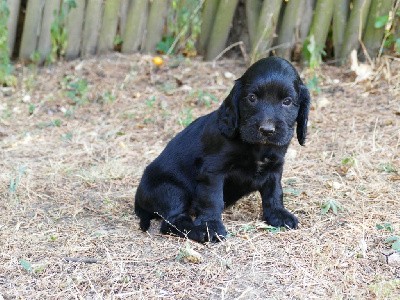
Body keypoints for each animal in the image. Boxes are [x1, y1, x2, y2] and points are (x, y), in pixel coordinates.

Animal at [136, 56, 310, 243]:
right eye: (252, 98)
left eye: (287, 101)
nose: (266, 130)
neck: (257, 147)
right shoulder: (213, 171)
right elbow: (212, 199)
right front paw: (210, 226)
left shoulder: (275, 167)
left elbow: (274, 192)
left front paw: (278, 215)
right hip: (171, 190)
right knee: (171, 222)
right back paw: (199, 231)